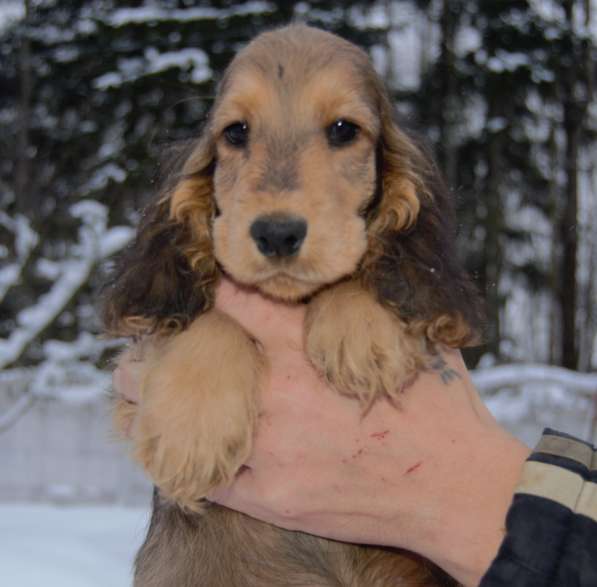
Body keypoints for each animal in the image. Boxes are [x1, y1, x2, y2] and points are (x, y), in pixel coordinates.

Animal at [105, 24, 482, 587]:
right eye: (235, 132)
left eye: (344, 129)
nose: (277, 233)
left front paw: (363, 332)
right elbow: (206, 318)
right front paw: (189, 435)